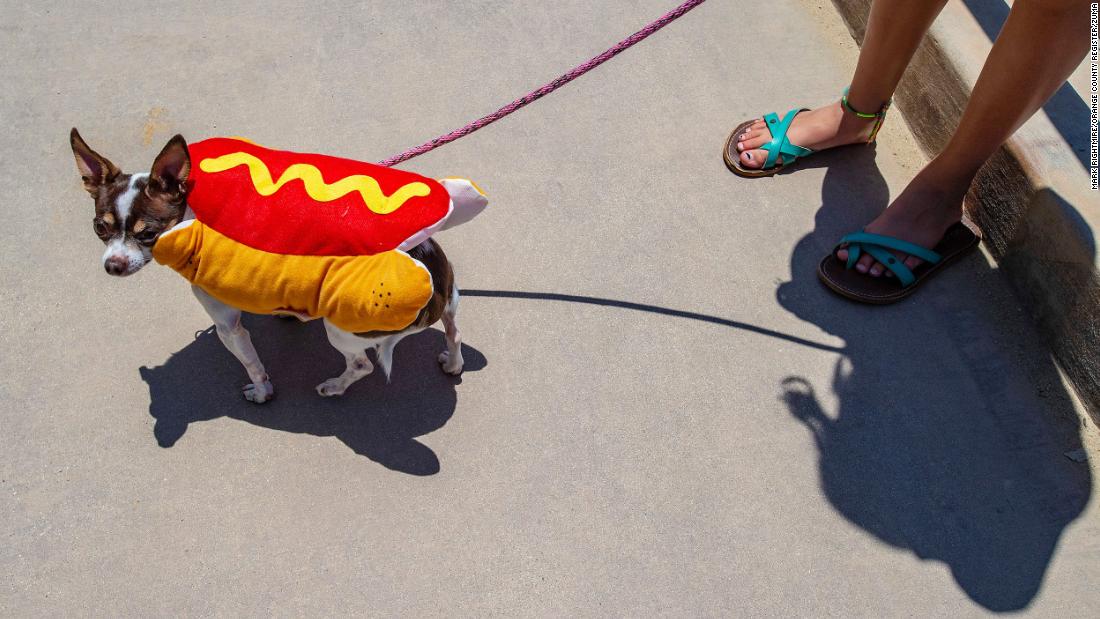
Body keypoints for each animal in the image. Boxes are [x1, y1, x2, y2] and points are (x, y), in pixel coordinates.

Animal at [68, 128, 481, 404]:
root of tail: (431, 280)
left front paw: (262, 390)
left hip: (343, 329)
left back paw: (335, 386)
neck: (195, 210)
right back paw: (453, 363)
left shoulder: (228, 327)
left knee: (363, 365)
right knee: (455, 330)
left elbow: (251, 363)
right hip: (452, 297)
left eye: (148, 234)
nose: (113, 265)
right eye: (100, 228)